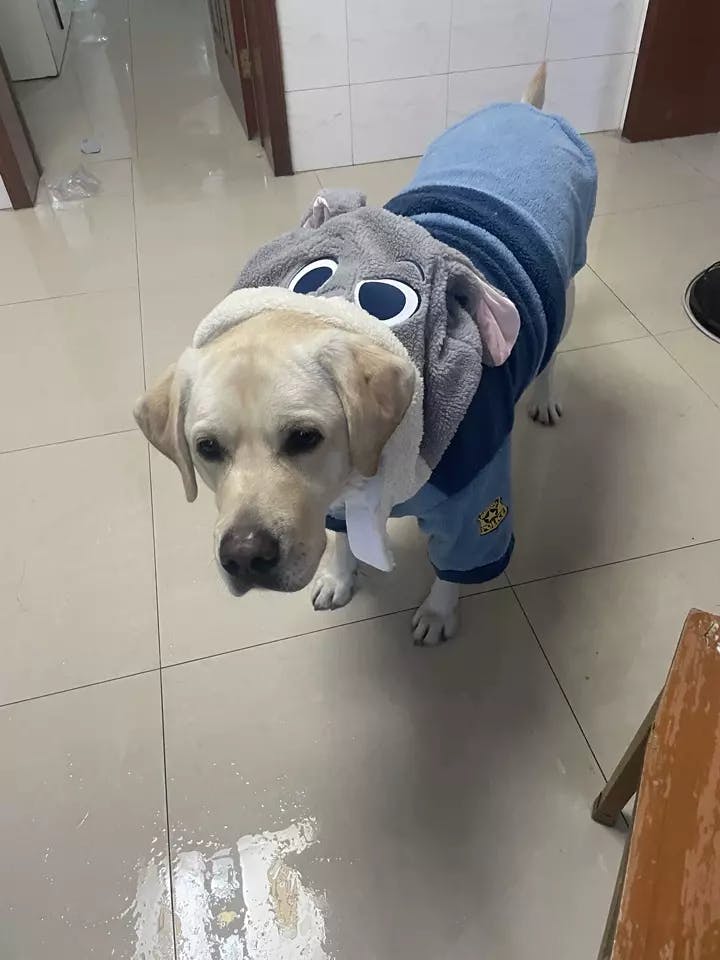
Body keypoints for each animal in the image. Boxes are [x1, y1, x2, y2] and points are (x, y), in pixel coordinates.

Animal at [134, 65, 597, 646]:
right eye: (207, 448)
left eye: (304, 437)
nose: (243, 556)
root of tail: (523, 110)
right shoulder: (335, 499)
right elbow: (338, 535)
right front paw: (339, 575)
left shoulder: (474, 501)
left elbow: (455, 564)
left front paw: (438, 612)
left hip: (565, 288)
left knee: (552, 350)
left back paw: (545, 396)